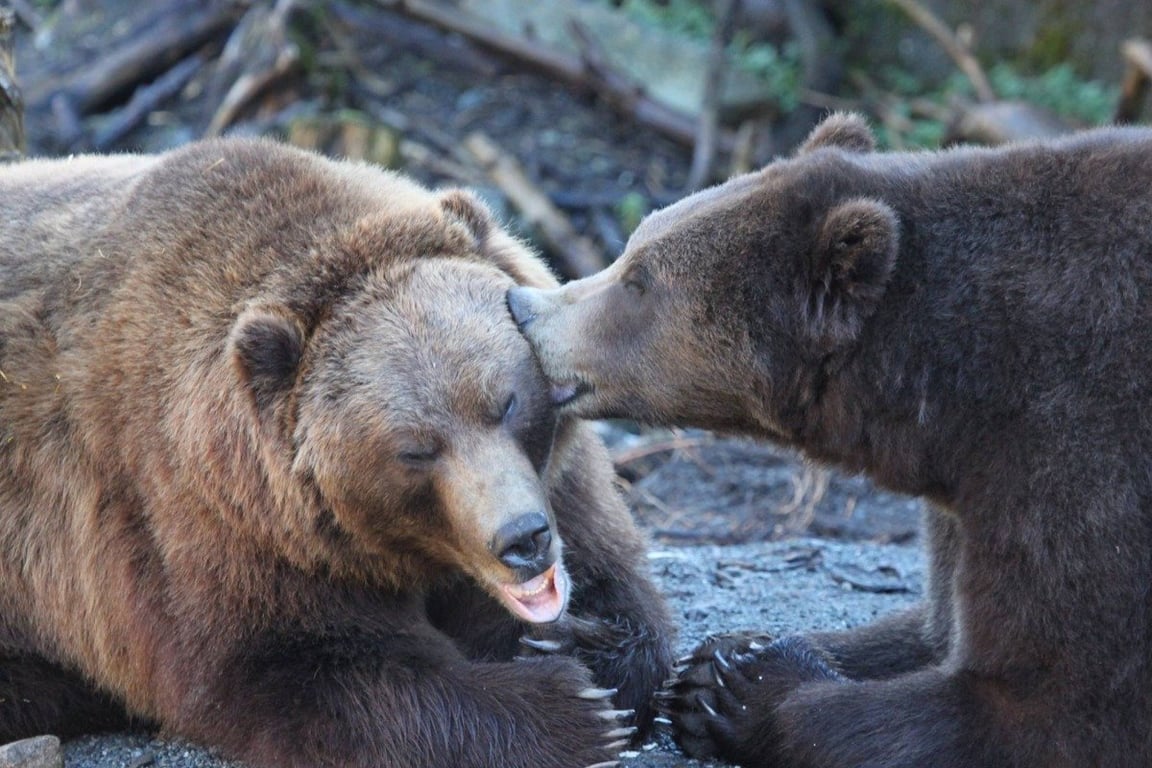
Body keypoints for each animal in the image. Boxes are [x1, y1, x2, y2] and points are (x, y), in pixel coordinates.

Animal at [0, 138, 674, 768]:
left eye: (506, 401)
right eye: (415, 450)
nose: (522, 538)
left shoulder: (557, 480)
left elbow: (614, 579)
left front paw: (582, 646)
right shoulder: (211, 525)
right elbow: (299, 668)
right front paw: (572, 709)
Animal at [508, 112, 1152, 768]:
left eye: (639, 281)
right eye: (633, 246)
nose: (521, 306)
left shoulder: (1079, 450)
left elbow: (1050, 706)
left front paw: (745, 690)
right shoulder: (969, 490)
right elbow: (932, 627)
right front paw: (703, 663)